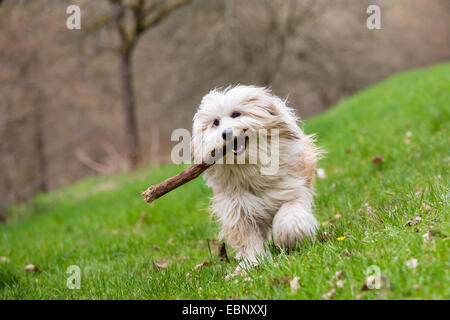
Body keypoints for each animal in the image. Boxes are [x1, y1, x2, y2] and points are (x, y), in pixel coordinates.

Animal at [190, 85, 320, 270]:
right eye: (215, 122)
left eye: (236, 114)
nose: (226, 133)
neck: (249, 165)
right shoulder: (238, 209)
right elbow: (247, 239)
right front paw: (253, 262)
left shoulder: (293, 189)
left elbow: (290, 215)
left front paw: (289, 238)